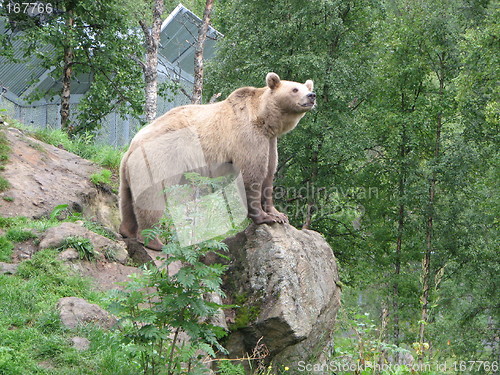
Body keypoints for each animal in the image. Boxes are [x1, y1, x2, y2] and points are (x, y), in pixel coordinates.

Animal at [119, 73, 314, 250]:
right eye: (295, 89)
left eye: (306, 87)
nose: (312, 96)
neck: (264, 121)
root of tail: (132, 146)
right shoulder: (247, 138)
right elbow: (252, 176)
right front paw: (264, 217)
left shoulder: (270, 142)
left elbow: (268, 174)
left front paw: (279, 215)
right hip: (159, 159)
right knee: (152, 198)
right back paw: (154, 242)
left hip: (132, 170)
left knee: (127, 199)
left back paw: (127, 231)